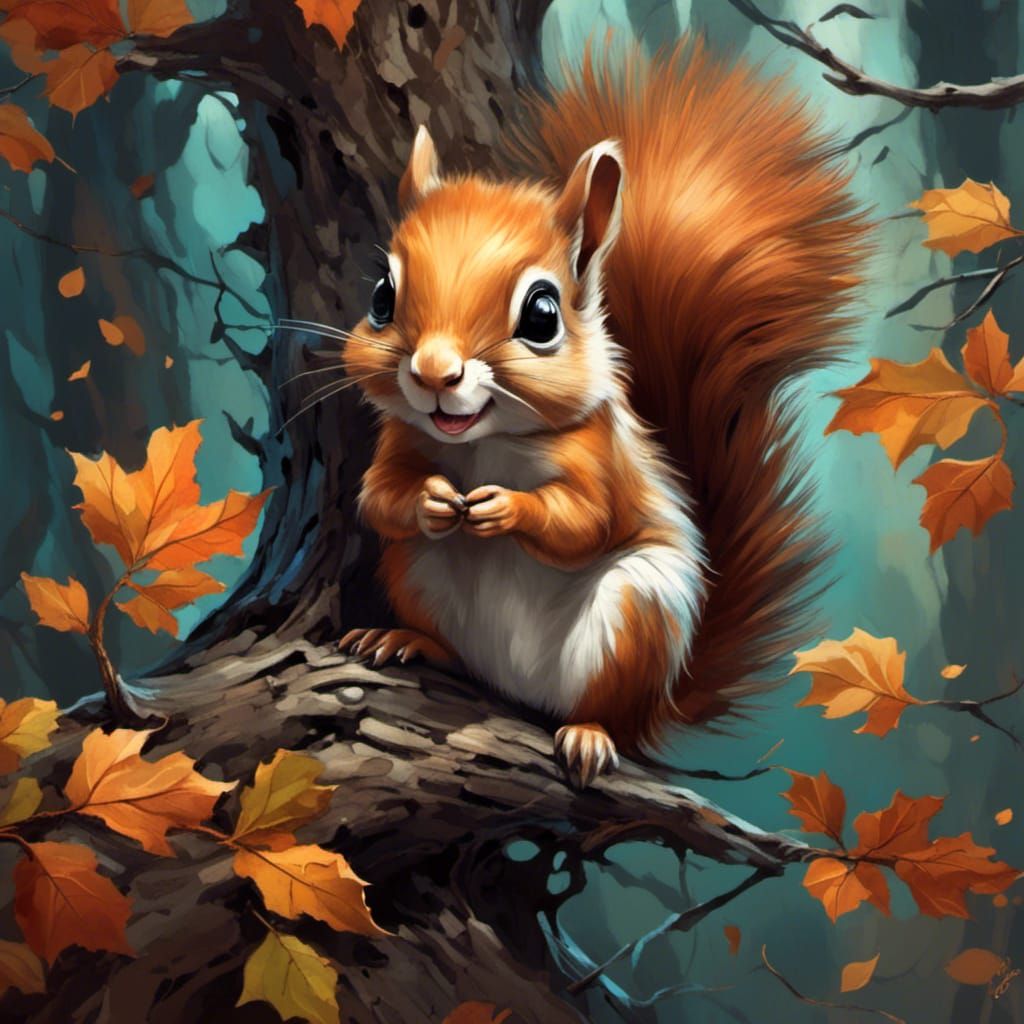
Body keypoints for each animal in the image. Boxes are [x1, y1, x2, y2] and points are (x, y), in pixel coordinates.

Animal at [340, 42, 866, 788]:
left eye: (542, 314)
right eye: (382, 297)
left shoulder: (601, 456)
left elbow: (585, 522)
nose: (435, 374)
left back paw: (590, 733)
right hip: (414, 571)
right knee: (454, 650)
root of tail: (521, 690)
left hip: (636, 613)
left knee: (606, 707)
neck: (484, 442)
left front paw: (507, 508)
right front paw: (431, 500)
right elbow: (379, 497)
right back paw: (404, 639)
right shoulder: (401, 441)